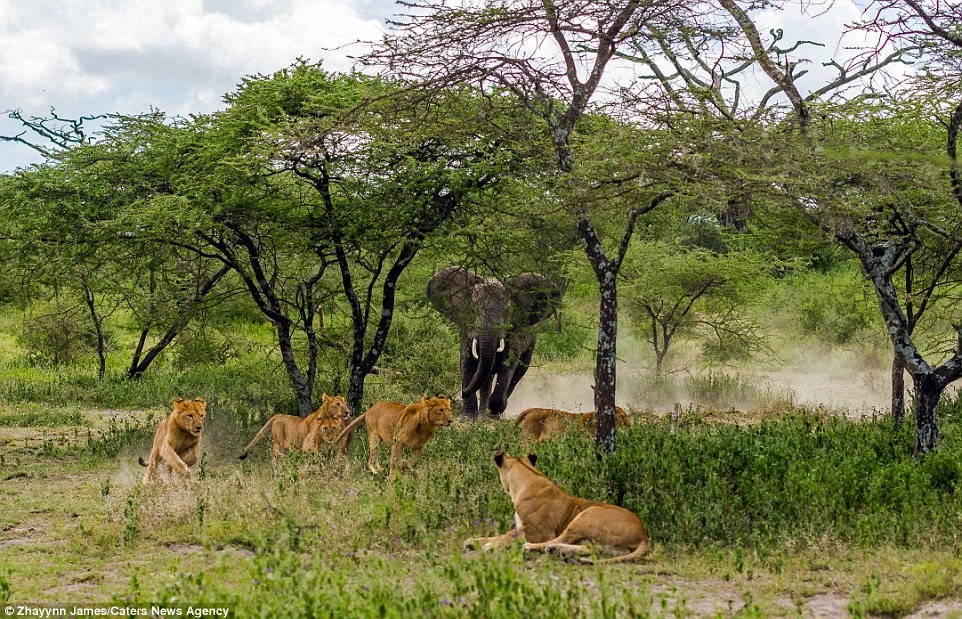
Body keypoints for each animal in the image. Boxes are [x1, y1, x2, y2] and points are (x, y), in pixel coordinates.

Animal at [426, 266, 564, 422]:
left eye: (508, 311)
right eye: (473, 310)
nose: (459, 394)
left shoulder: (515, 331)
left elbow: (509, 363)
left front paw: (493, 410)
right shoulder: (467, 329)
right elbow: (467, 362)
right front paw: (469, 418)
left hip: (531, 341)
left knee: (517, 374)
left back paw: (494, 413)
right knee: (487, 377)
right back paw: (482, 415)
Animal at [462, 452, 648, 564]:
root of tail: (644, 535)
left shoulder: (539, 531)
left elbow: (508, 535)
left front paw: (489, 546)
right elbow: (499, 535)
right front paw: (473, 541)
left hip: (587, 514)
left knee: (558, 539)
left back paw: (536, 547)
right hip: (605, 544)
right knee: (590, 548)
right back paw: (559, 551)